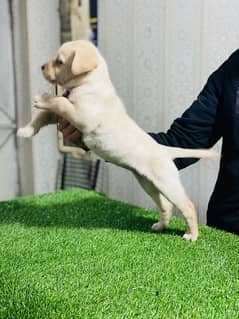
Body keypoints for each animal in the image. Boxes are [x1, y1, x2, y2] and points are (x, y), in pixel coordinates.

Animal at [16, 40, 216, 241]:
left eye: (59, 61)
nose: (41, 66)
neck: (89, 83)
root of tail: (163, 149)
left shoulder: (81, 115)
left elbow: (59, 102)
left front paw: (42, 97)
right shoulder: (62, 116)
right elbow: (43, 115)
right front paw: (25, 131)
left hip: (167, 183)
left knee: (187, 205)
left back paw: (191, 235)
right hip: (148, 183)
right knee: (165, 206)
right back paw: (160, 226)